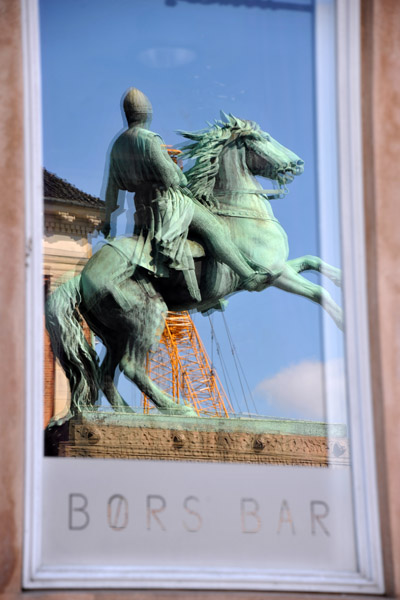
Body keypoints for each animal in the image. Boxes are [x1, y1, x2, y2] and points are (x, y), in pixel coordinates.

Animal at [46, 116, 340, 426]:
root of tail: (81, 278)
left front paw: (342, 279)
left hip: (115, 334)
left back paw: (123, 414)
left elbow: (313, 261)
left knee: (105, 374)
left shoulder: (281, 268)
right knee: (131, 367)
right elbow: (317, 292)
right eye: (263, 138)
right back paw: (177, 409)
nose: (297, 163)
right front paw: (343, 319)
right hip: (146, 316)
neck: (241, 212)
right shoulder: (275, 273)